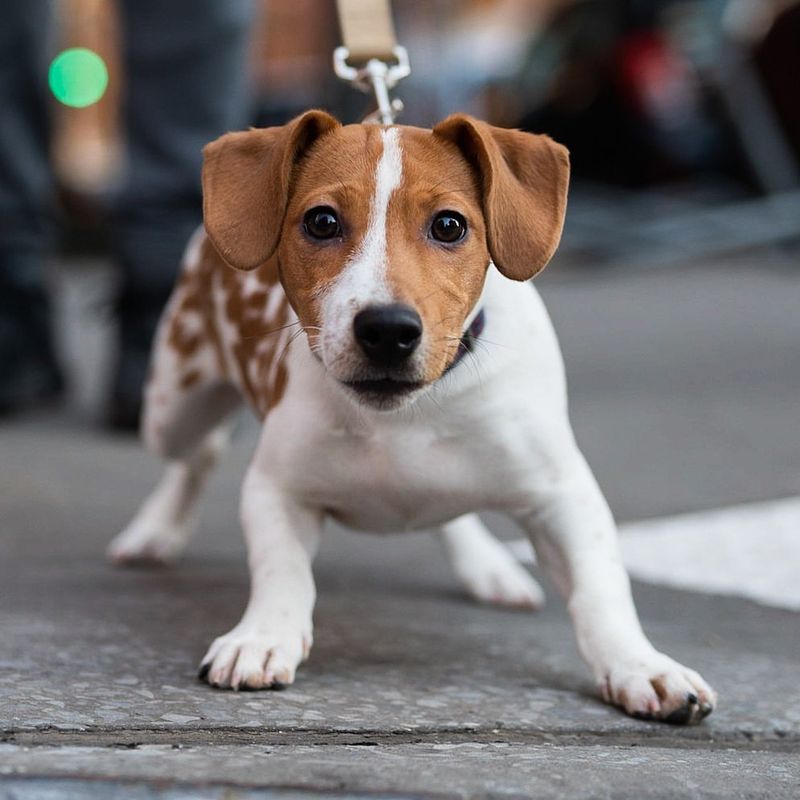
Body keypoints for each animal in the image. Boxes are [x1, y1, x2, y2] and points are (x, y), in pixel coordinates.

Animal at [109, 112, 716, 724]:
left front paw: (640, 664)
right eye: (321, 221)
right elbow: (283, 570)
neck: (405, 415)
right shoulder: (276, 488)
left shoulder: (562, 494)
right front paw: (262, 636)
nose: (387, 329)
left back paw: (486, 565)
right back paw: (157, 528)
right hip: (171, 405)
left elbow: (601, 587)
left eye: (449, 225)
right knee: (199, 451)